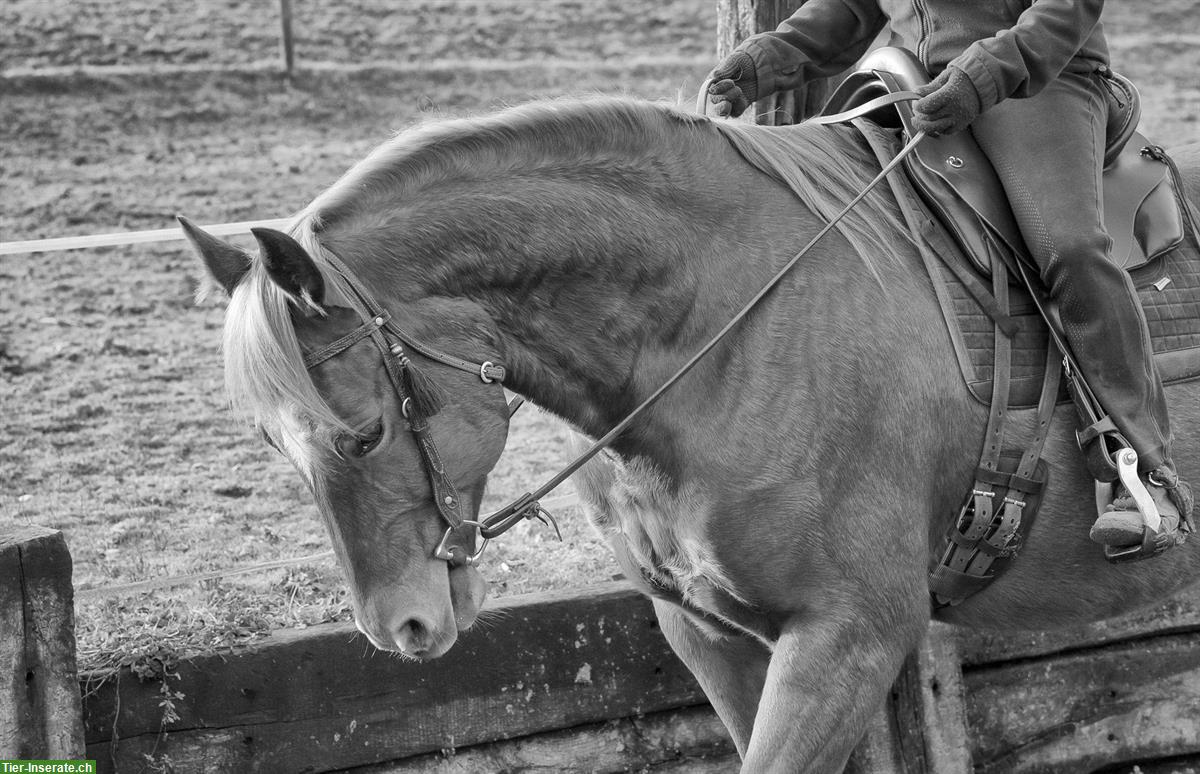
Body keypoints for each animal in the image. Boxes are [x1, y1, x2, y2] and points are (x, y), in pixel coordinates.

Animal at [177, 99, 1200, 768]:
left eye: (359, 436)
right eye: (274, 445)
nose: (400, 626)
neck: (723, 327)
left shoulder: (849, 638)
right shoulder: (708, 629)